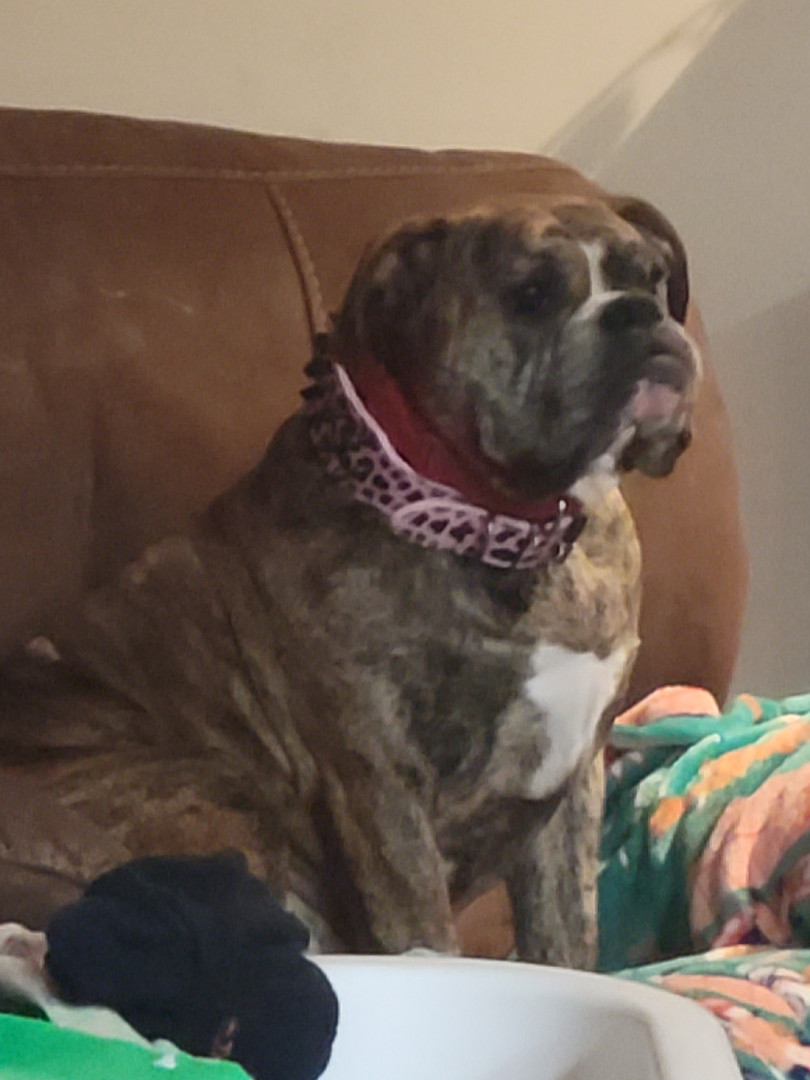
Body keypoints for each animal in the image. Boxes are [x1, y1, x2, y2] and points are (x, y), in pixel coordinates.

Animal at [0, 195, 699, 967]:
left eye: (653, 276)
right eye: (532, 295)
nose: (636, 312)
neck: (507, 526)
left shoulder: (567, 795)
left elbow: (567, 941)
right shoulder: (381, 785)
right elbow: (424, 928)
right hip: (220, 801)